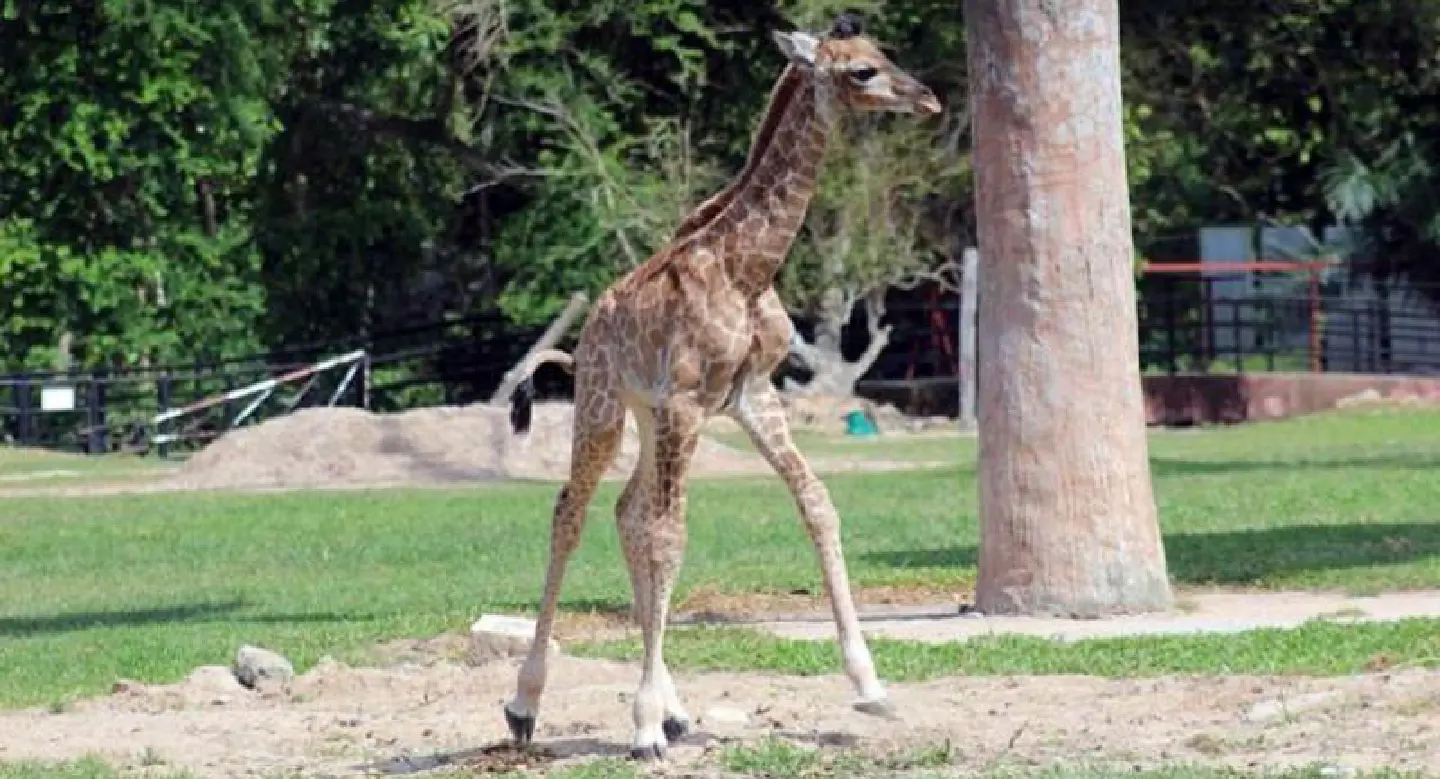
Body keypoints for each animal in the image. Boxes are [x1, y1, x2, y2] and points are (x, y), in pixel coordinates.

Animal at [499, 12, 941, 760]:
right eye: (860, 71)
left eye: (882, 53)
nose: (929, 100)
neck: (747, 269)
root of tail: (590, 333)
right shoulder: (686, 402)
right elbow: (669, 537)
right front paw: (643, 726)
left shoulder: (750, 397)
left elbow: (816, 504)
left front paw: (870, 686)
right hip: (606, 407)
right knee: (573, 513)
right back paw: (526, 706)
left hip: (650, 418)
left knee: (625, 512)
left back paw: (675, 711)